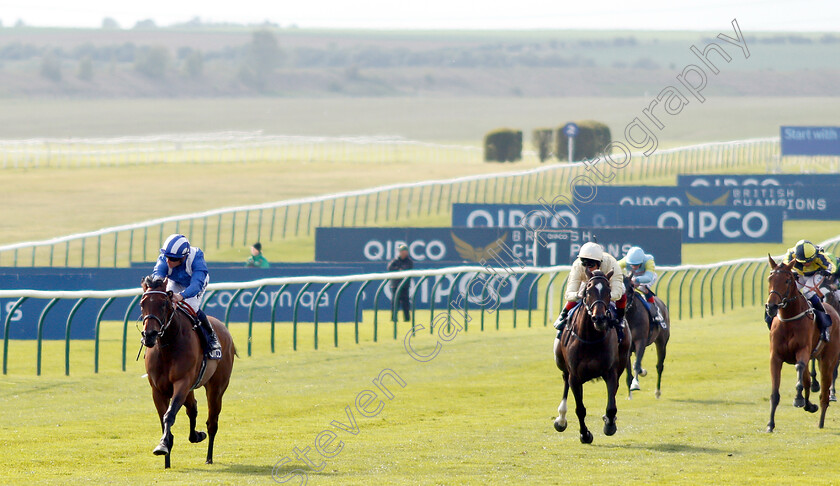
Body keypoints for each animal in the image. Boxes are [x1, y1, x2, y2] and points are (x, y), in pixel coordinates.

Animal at [139, 276, 235, 468]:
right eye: (142, 303)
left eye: (163, 304)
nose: (149, 335)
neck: (167, 347)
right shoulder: (158, 390)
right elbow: (164, 418)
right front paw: (166, 454)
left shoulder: (182, 383)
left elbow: (169, 415)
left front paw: (163, 445)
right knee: (193, 408)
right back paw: (196, 436)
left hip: (216, 387)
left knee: (212, 421)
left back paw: (209, 457)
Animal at [552, 270, 632, 444]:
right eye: (588, 291)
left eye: (608, 291)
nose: (599, 318)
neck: (590, 339)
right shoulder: (575, 376)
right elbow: (580, 409)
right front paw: (585, 434)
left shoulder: (610, 372)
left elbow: (611, 405)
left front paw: (609, 424)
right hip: (561, 363)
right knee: (565, 381)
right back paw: (561, 419)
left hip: (622, 360)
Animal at [768, 256, 840, 430]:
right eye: (770, 278)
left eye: (787, 280)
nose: (771, 306)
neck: (789, 320)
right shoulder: (775, 357)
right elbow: (775, 393)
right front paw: (770, 424)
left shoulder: (803, 351)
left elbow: (799, 369)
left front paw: (798, 398)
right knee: (808, 381)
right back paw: (810, 405)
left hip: (828, 359)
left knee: (825, 389)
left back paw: (821, 420)